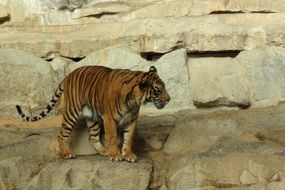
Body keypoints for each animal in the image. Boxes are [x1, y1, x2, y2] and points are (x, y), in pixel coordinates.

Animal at [16, 65, 170, 162]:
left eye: (164, 87)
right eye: (158, 90)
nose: (169, 99)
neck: (134, 101)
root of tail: (68, 75)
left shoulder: (131, 120)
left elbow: (129, 138)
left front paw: (128, 155)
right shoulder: (109, 119)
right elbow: (112, 137)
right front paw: (115, 155)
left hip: (92, 116)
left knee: (93, 137)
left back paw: (103, 151)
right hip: (72, 113)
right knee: (62, 134)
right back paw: (67, 154)